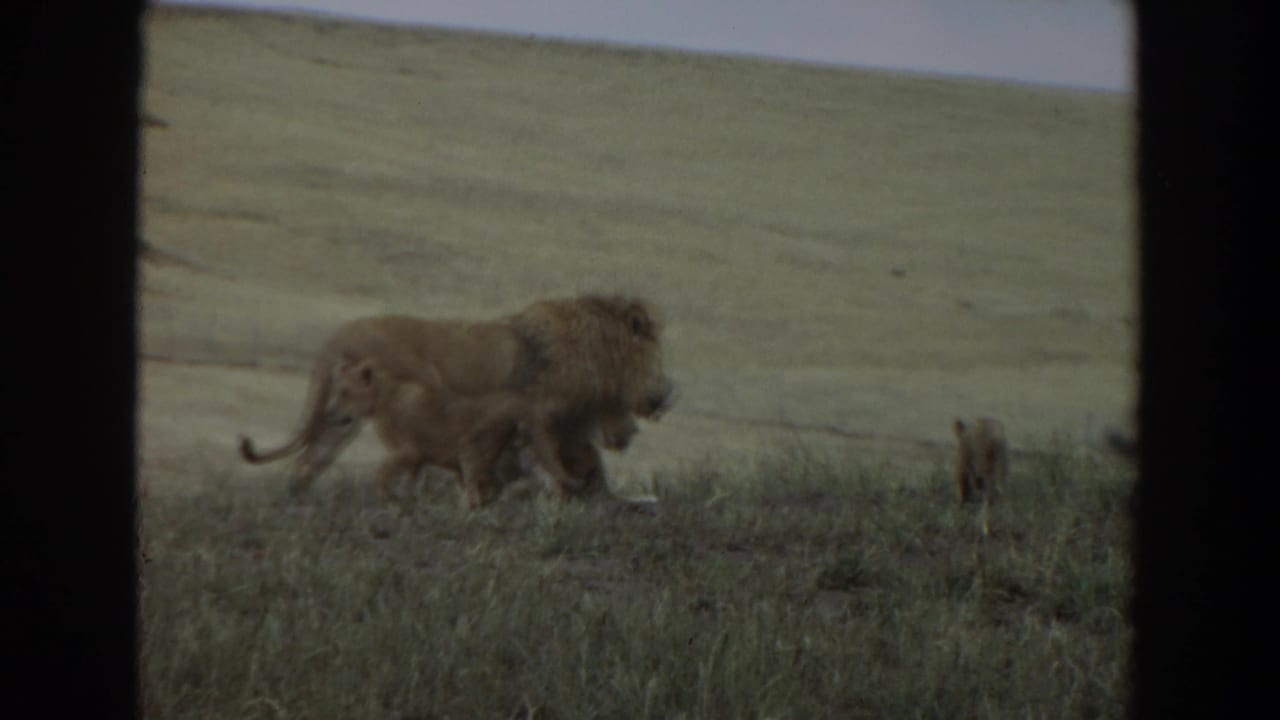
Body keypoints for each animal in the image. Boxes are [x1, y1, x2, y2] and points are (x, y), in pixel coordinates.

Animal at [239, 294, 673, 507]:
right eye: (658, 352)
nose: (666, 396)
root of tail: (340, 335)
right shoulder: (546, 418)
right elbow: (568, 464)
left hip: (341, 417)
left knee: (310, 460)